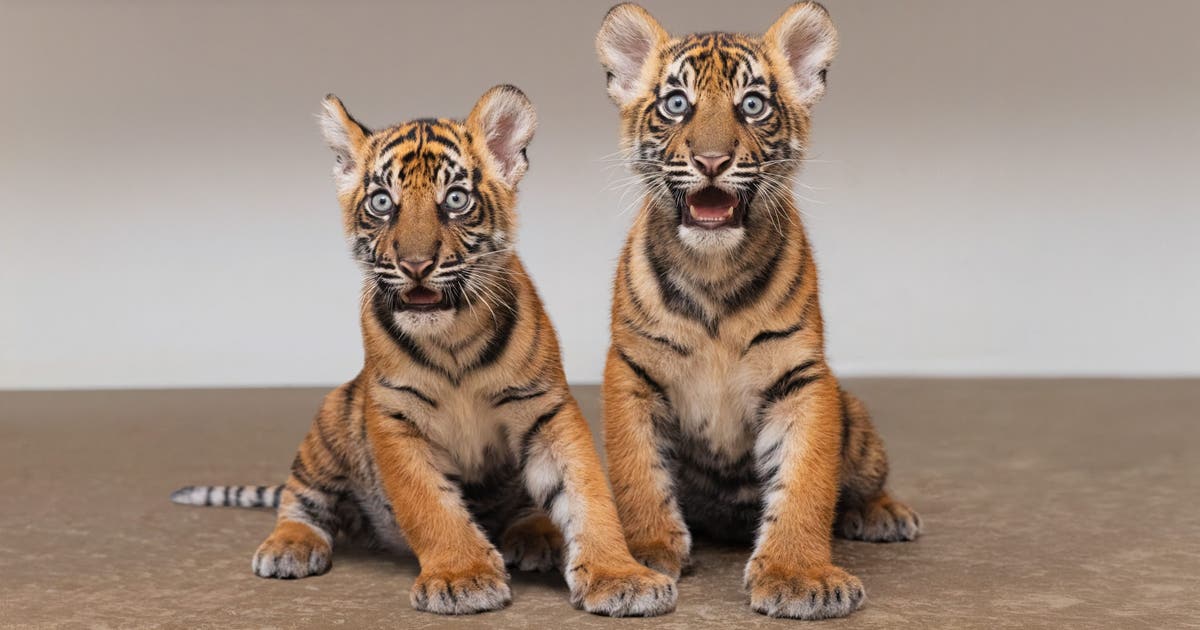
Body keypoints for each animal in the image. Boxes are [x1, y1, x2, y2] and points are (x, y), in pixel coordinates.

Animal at [170, 85, 676, 617]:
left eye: (455, 200)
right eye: (381, 203)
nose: (415, 265)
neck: (454, 338)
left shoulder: (545, 408)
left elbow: (587, 494)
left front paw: (621, 577)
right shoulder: (394, 417)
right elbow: (431, 505)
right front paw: (463, 577)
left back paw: (536, 534)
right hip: (330, 422)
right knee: (299, 499)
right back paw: (289, 546)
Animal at [594, 2, 921, 619]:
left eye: (752, 105)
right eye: (677, 104)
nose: (712, 160)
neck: (713, 272)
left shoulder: (802, 376)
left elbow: (806, 482)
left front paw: (798, 576)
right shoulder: (632, 370)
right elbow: (637, 471)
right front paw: (645, 551)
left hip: (857, 422)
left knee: (864, 480)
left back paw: (882, 514)